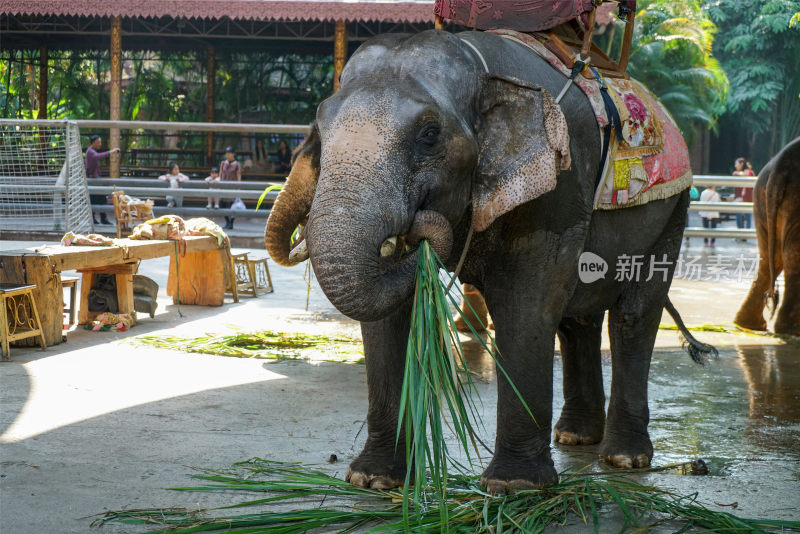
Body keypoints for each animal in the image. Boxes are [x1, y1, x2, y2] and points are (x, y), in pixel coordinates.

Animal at [266, 30, 708, 494]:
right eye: (319, 127)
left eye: (429, 133)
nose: (418, 230)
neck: (484, 68)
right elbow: (389, 315)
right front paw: (372, 480)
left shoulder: (559, 183)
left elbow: (527, 304)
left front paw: (515, 486)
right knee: (578, 318)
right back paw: (575, 437)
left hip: (672, 207)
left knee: (633, 314)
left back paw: (623, 458)